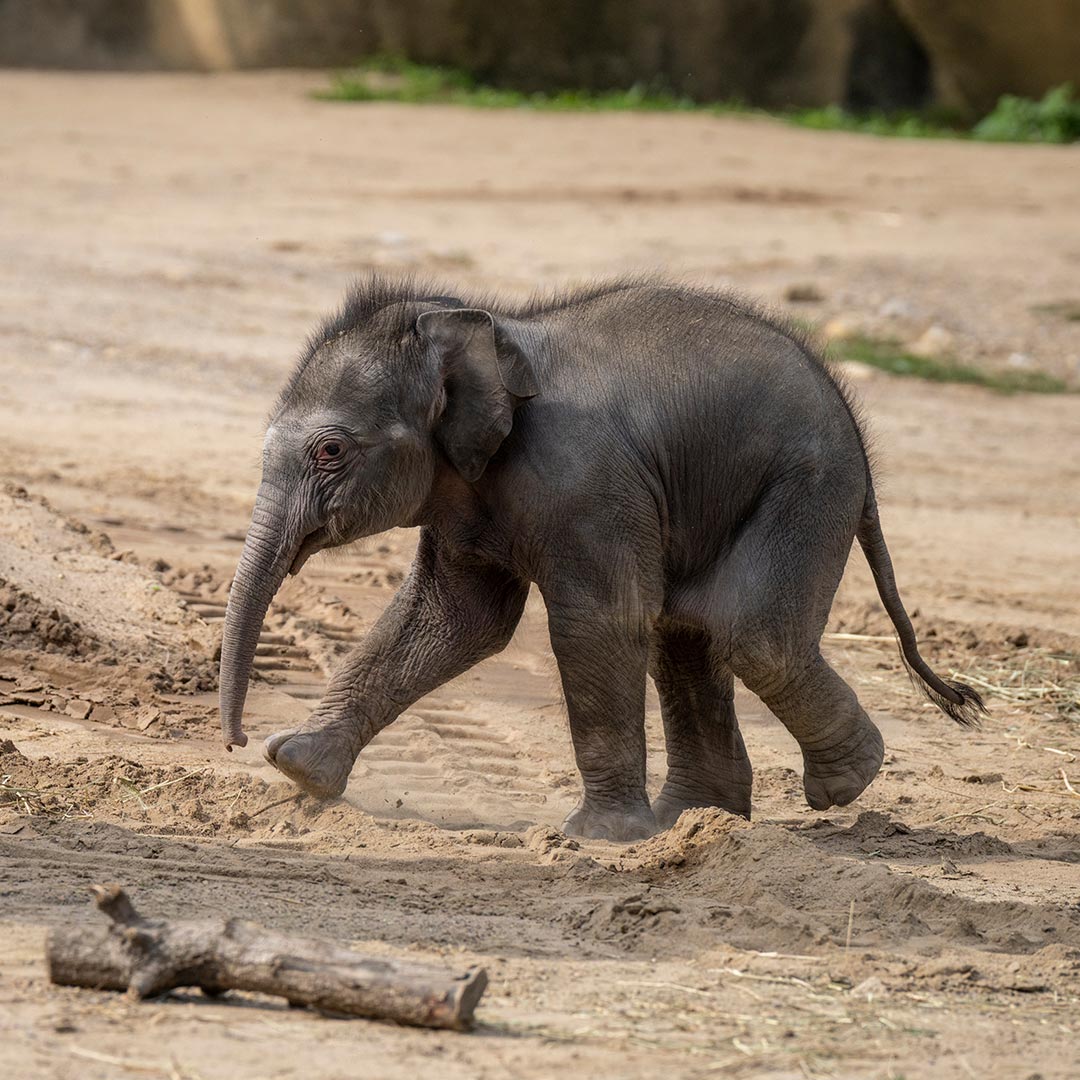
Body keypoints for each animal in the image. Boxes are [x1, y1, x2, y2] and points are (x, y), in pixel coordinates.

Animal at [218, 275, 984, 841]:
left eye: (330, 450)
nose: (237, 741)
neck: (485, 328)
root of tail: (857, 432)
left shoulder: (586, 483)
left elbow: (597, 623)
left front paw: (596, 838)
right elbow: (454, 620)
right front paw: (298, 767)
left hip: (807, 484)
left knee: (752, 635)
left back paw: (845, 782)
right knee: (688, 632)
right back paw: (695, 819)